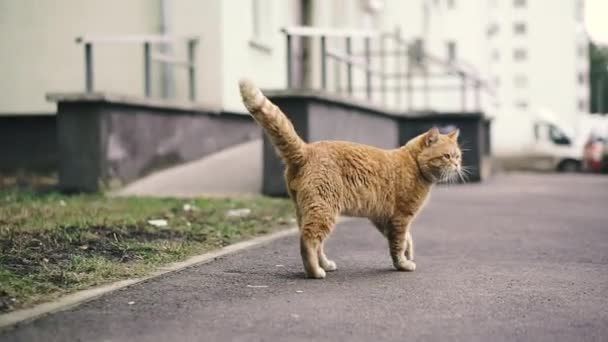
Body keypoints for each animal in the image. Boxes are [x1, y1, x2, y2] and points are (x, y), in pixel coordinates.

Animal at [240, 79, 464, 280]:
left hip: (304, 209)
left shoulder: (383, 218)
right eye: (447, 156)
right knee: (308, 240)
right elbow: (398, 244)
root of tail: (307, 149)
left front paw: (408, 254)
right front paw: (403, 264)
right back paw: (315, 272)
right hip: (324, 209)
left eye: (458, 156)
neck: (413, 164)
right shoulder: (400, 217)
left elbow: (406, 240)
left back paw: (325, 264)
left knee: (315, 241)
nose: (457, 165)